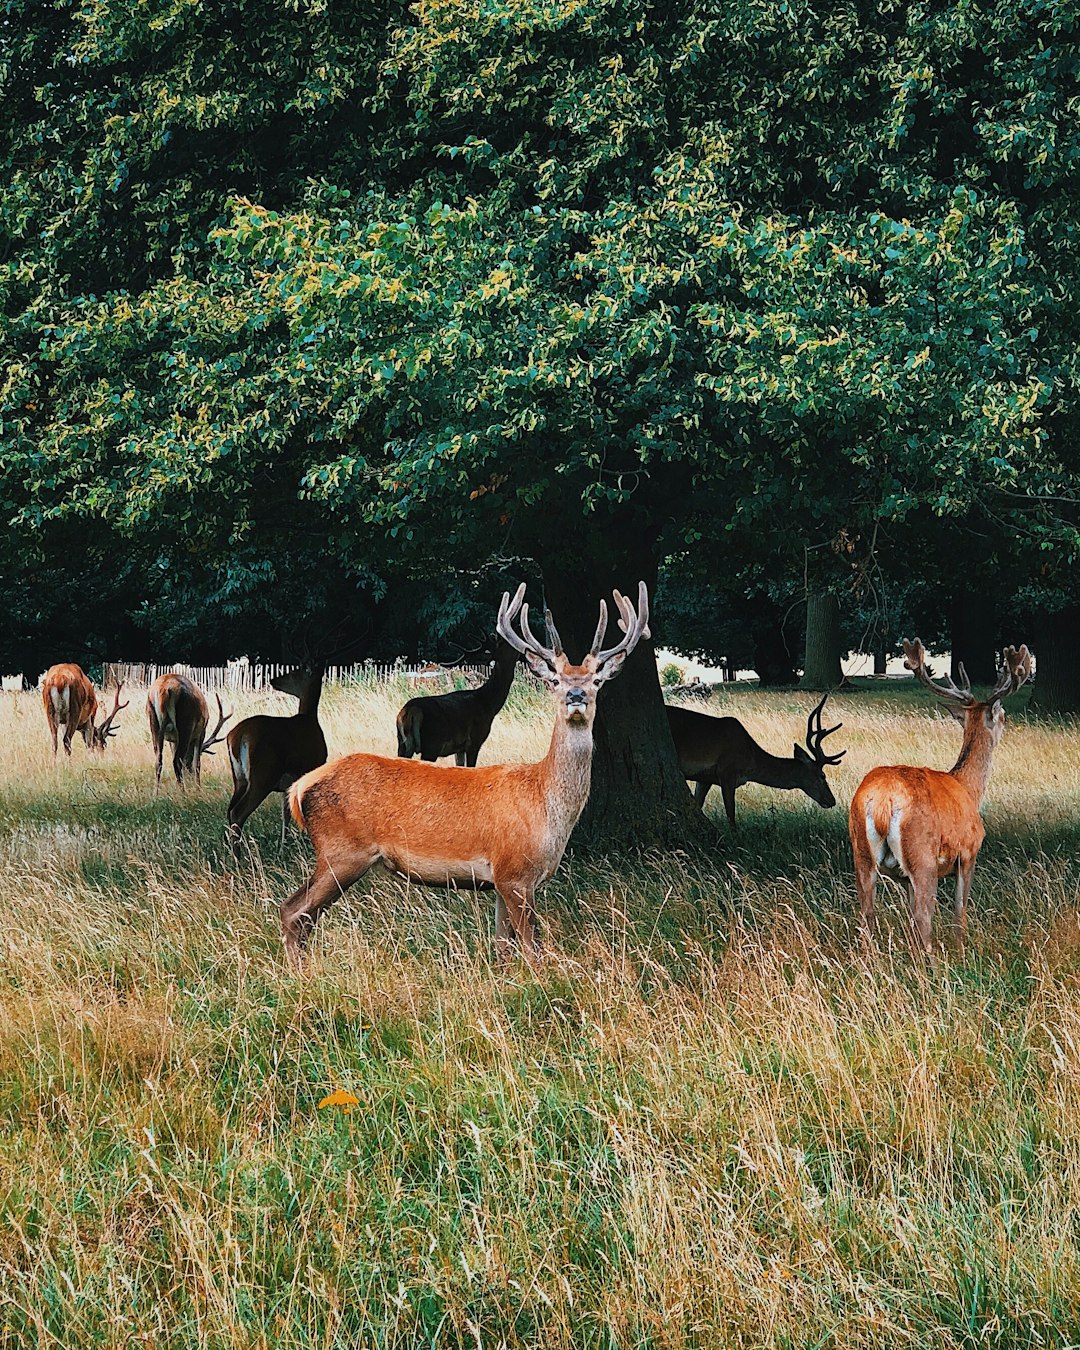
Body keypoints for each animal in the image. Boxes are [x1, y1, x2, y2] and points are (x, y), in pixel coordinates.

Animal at [225, 666, 326, 847]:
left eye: (293, 672)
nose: (273, 680)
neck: (310, 718)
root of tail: (237, 736)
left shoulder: (288, 785)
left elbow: (286, 814)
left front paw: (283, 845)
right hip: (263, 774)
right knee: (237, 812)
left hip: (239, 777)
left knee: (230, 810)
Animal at [396, 637, 523, 766]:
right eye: (505, 644)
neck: (488, 704)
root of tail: (412, 710)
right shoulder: (474, 741)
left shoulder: (459, 748)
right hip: (432, 743)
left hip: (402, 743)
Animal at [666, 696, 853, 820]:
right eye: (822, 776)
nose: (832, 800)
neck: (750, 761)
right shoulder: (727, 772)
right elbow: (731, 815)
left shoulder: (705, 778)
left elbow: (697, 804)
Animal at [847, 637, 1031, 955]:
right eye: (1003, 716)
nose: (1008, 723)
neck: (969, 788)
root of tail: (882, 802)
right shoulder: (969, 851)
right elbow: (960, 909)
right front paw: (962, 950)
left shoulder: (904, 876)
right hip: (923, 856)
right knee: (924, 916)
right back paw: (933, 964)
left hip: (861, 852)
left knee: (867, 914)